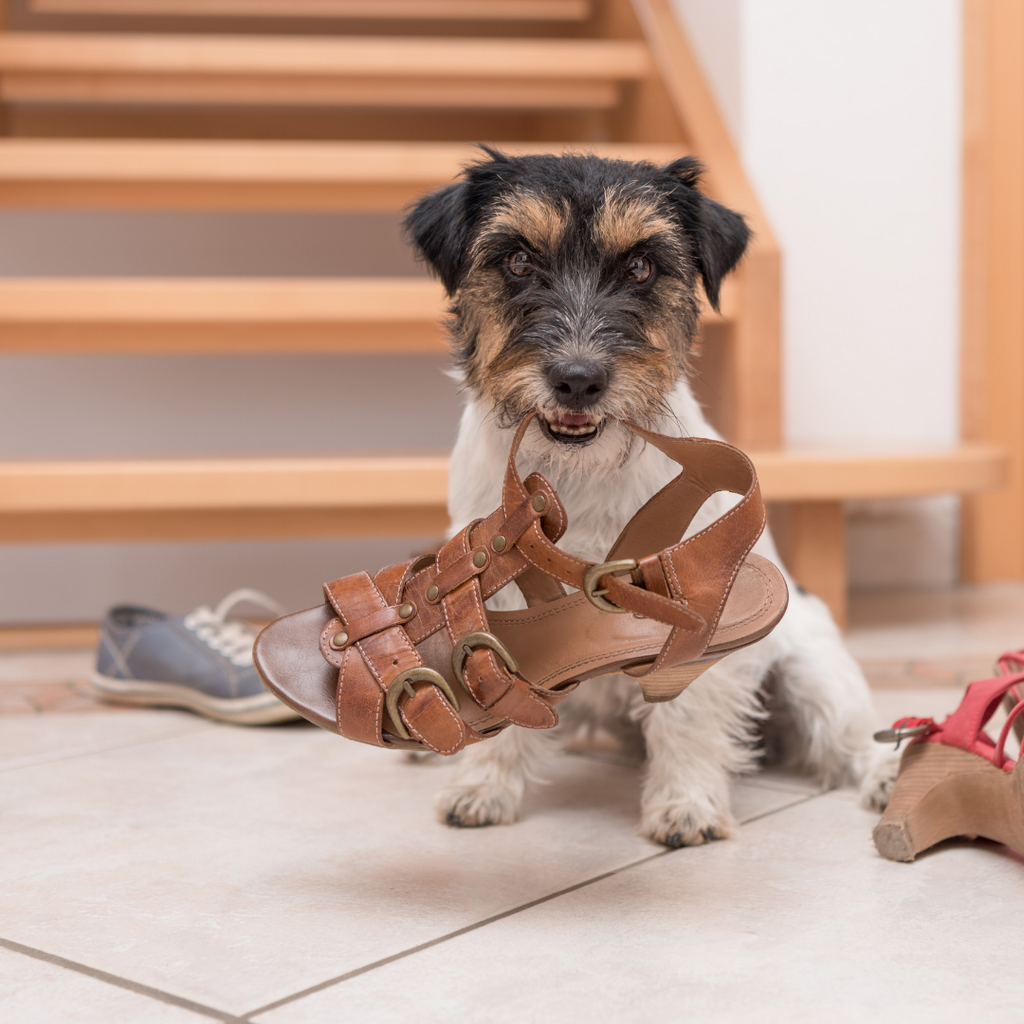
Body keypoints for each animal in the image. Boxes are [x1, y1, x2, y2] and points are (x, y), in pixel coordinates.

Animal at [403, 148, 892, 843]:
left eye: (640, 267)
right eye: (518, 260)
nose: (578, 379)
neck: (575, 472)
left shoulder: (694, 604)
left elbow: (686, 712)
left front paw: (685, 804)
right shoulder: (491, 588)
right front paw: (484, 786)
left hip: (814, 675)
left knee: (852, 738)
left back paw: (885, 776)